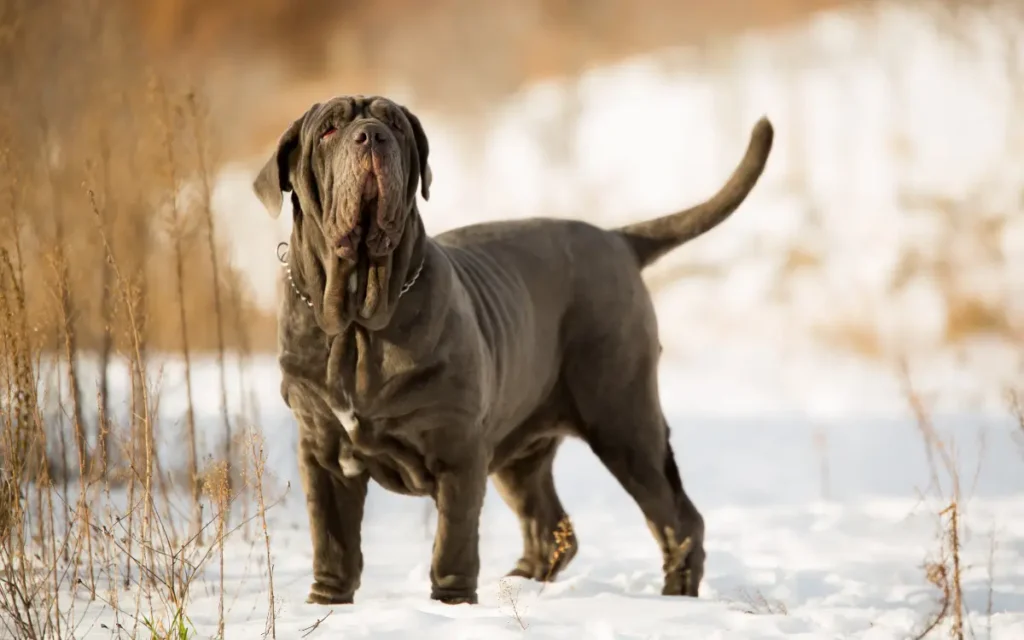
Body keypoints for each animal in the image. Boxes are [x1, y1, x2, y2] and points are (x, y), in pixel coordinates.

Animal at [251, 93, 770, 602]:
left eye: (394, 125)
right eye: (329, 130)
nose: (372, 135)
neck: (358, 321)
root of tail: (617, 239)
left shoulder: (458, 452)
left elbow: (453, 543)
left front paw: (451, 605)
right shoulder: (322, 452)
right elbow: (332, 540)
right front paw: (327, 603)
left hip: (624, 421)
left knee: (678, 518)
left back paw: (674, 594)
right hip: (523, 449)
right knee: (550, 525)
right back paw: (519, 584)